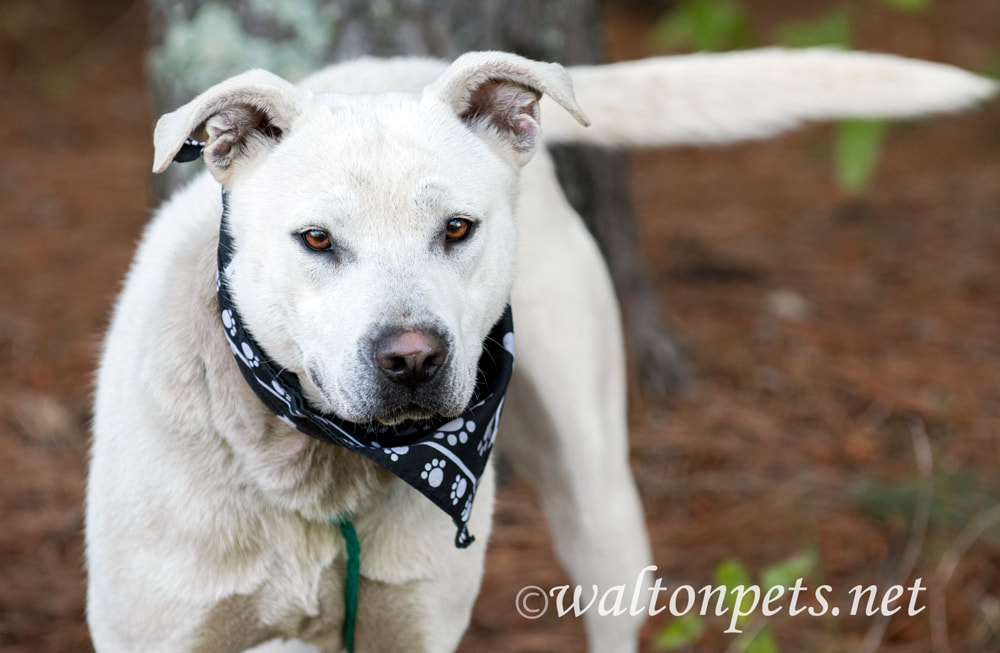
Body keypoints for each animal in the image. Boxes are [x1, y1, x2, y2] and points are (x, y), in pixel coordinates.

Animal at [88, 48, 992, 648]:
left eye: (457, 228)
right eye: (316, 239)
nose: (412, 358)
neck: (321, 466)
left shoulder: (412, 625)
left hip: (602, 505)